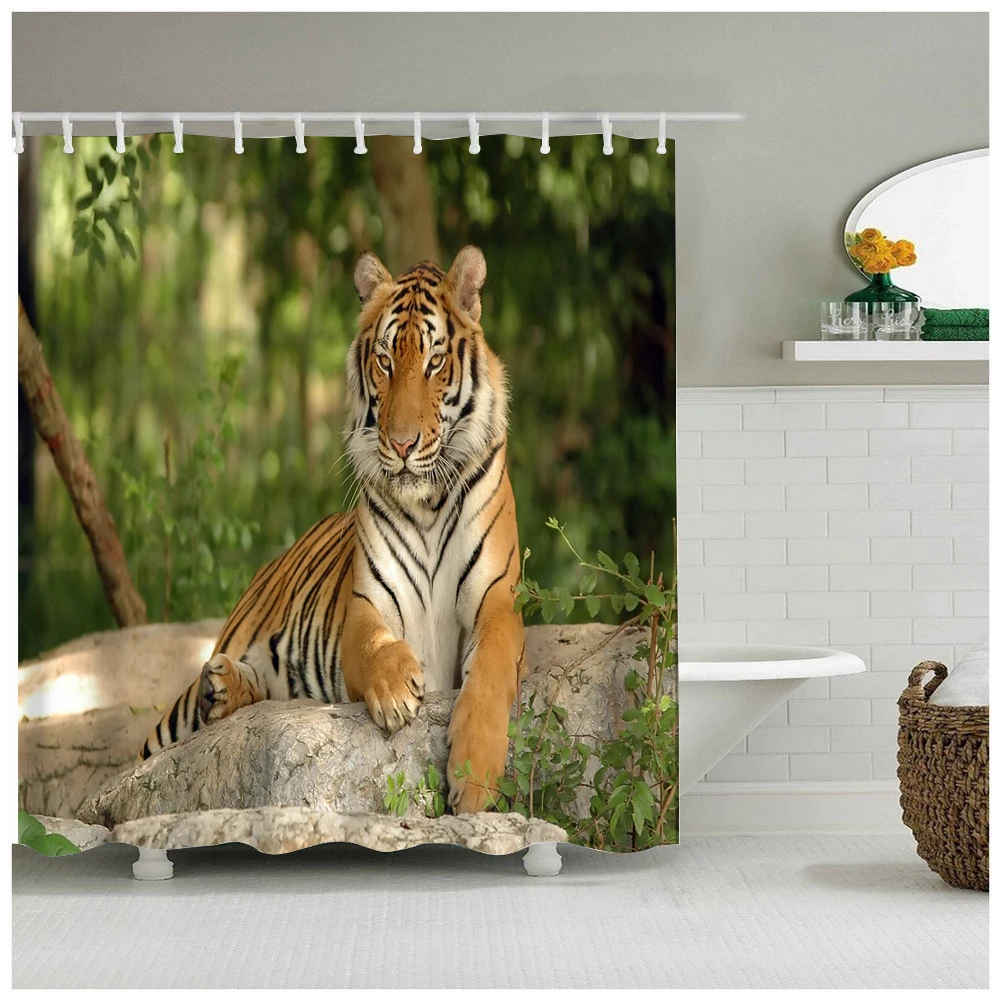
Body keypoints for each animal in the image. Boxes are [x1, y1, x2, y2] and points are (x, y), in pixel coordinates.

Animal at [140, 245, 525, 814]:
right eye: (385, 362)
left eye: (434, 362)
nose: (403, 444)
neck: (428, 504)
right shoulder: (367, 604)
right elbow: (372, 646)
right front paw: (396, 689)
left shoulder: (496, 600)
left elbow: (492, 674)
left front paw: (474, 782)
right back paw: (219, 690)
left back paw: (225, 692)